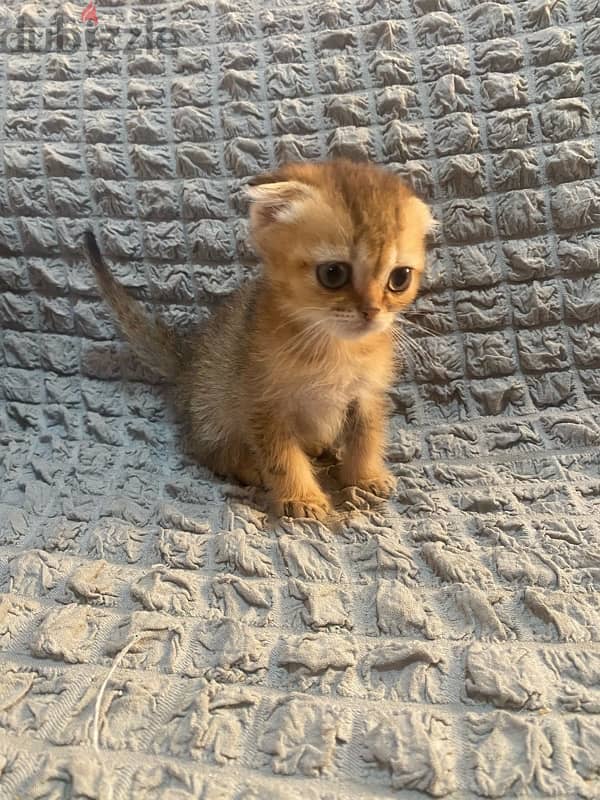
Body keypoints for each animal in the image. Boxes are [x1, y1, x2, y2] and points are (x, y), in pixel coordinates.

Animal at [85, 158, 432, 520]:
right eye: (333, 273)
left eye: (400, 278)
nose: (372, 311)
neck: (333, 347)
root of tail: (187, 363)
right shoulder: (263, 404)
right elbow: (282, 456)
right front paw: (302, 497)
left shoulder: (366, 395)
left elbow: (366, 438)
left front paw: (364, 478)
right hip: (213, 410)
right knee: (208, 450)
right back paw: (251, 468)